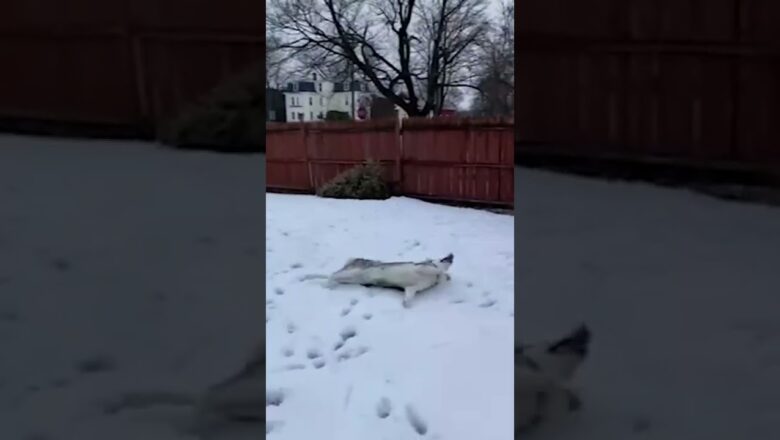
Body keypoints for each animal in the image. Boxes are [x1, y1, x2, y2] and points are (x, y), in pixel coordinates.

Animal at [302, 253, 454, 308]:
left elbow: (408, 300)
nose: (452, 255)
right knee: (331, 274)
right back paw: (327, 284)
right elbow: (437, 270)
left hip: (350, 278)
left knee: (331, 275)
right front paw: (443, 275)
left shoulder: (412, 289)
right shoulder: (422, 267)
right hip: (352, 271)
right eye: (444, 257)